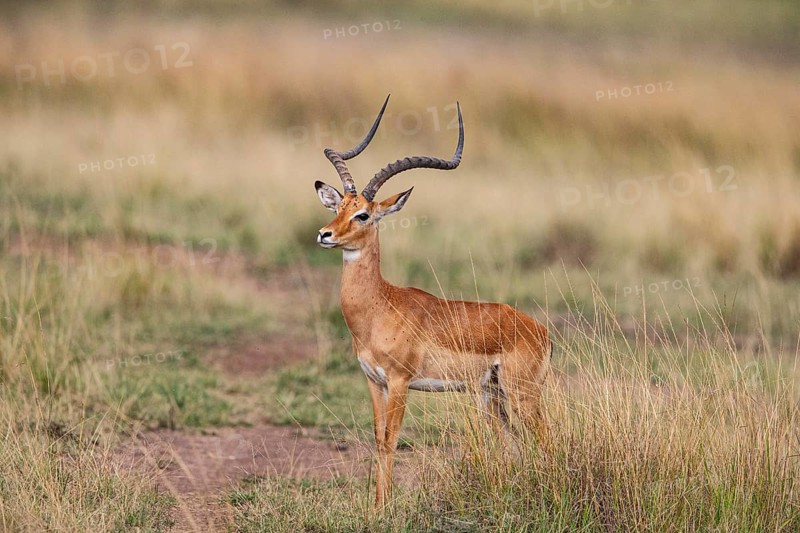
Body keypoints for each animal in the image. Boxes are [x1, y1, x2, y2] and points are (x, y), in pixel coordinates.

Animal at [314, 96, 551, 507]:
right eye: (338, 207)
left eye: (363, 214)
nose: (325, 235)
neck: (380, 306)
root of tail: (539, 330)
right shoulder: (373, 381)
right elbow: (378, 440)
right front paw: (376, 506)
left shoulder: (400, 381)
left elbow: (391, 441)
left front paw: (385, 508)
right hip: (492, 395)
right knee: (516, 443)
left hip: (522, 394)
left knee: (546, 437)